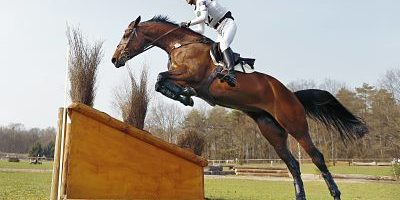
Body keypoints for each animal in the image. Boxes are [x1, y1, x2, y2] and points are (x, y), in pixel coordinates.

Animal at [111, 16, 368, 200]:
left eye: (126, 34)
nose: (115, 59)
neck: (180, 45)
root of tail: (291, 94)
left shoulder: (191, 75)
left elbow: (160, 77)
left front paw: (186, 97)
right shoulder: (183, 77)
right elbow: (160, 82)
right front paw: (185, 97)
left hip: (294, 124)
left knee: (316, 157)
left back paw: (335, 193)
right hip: (270, 129)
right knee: (293, 164)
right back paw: (300, 196)